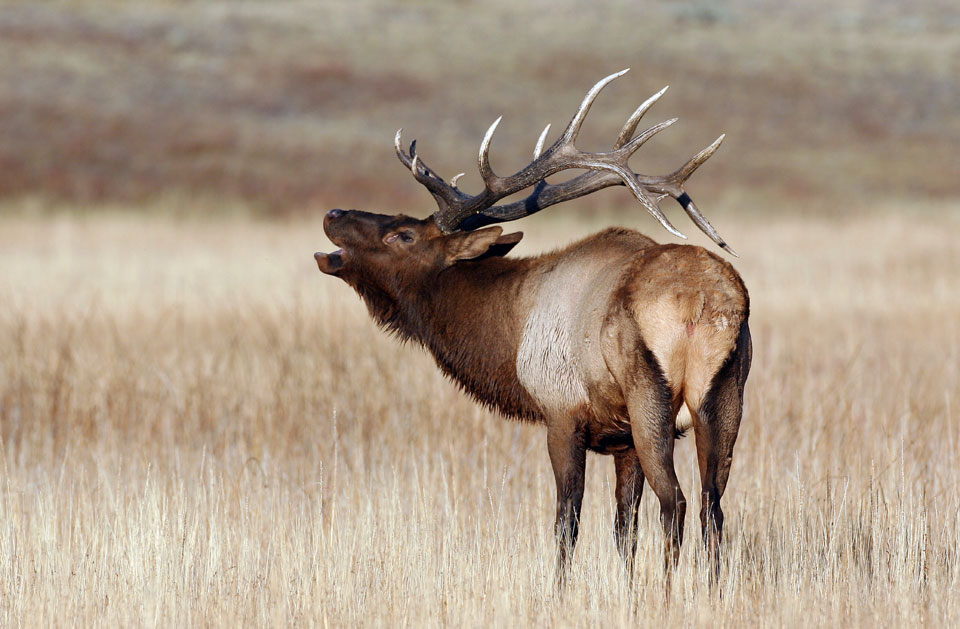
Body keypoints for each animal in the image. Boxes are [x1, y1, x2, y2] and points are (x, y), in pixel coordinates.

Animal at [316, 70, 752, 580]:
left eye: (403, 235)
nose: (333, 213)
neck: (508, 334)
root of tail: (705, 302)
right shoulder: (621, 440)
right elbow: (624, 530)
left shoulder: (561, 413)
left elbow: (567, 524)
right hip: (725, 397)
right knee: (712, 508)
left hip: (650, 396)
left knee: (676, 504)